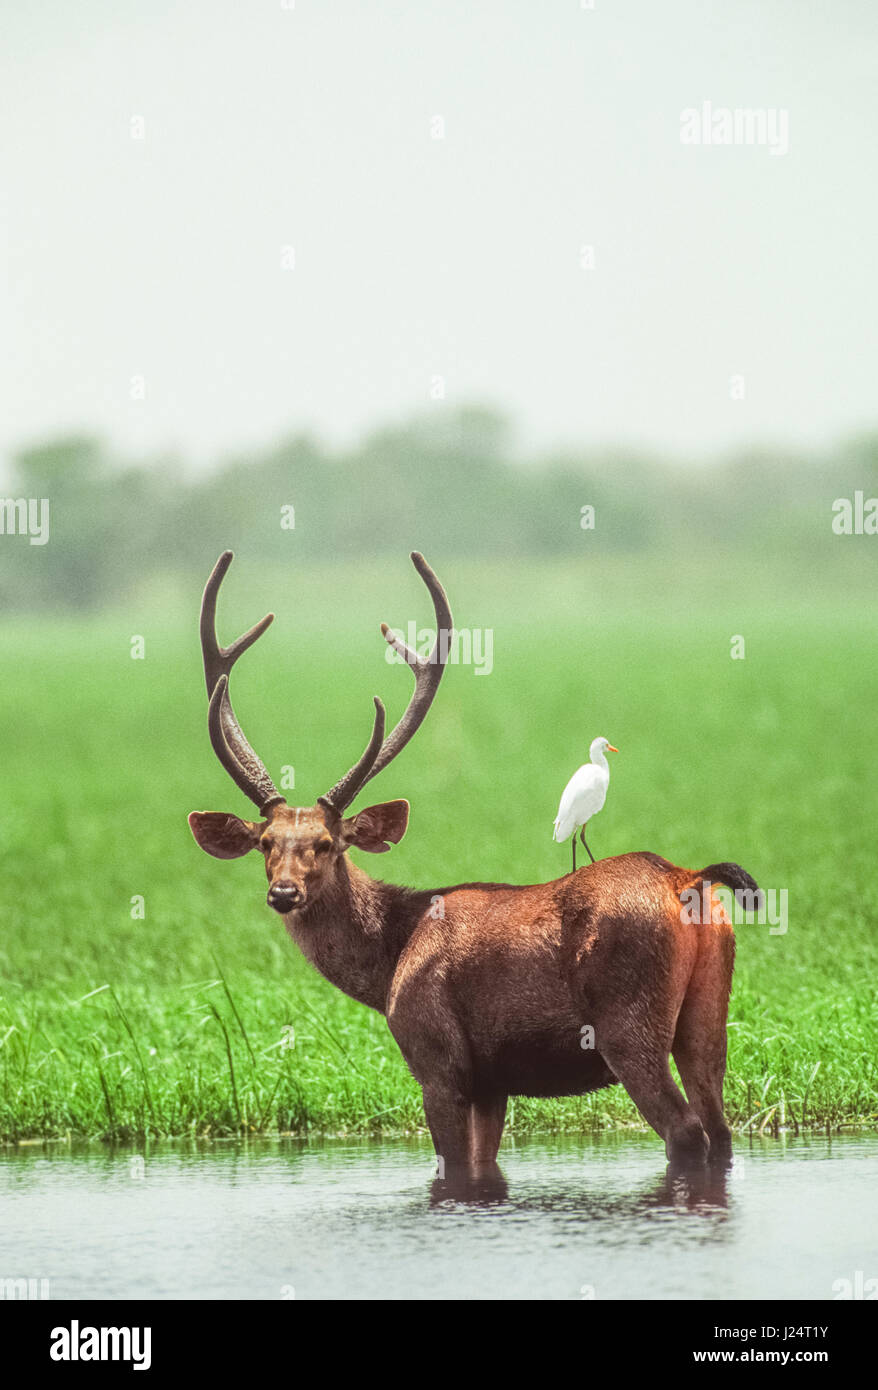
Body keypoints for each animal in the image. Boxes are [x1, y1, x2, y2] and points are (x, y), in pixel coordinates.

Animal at [188, 550, 755, 1173]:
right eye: (266, 843)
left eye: (328, 844)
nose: (284, 893)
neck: (388, 962)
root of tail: (686, 878)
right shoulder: (492, 1083)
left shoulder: (438, 1060)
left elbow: (454, 1167)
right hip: (707, 1017)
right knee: (721, 1127)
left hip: (630, 1023)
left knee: (687, 1131)